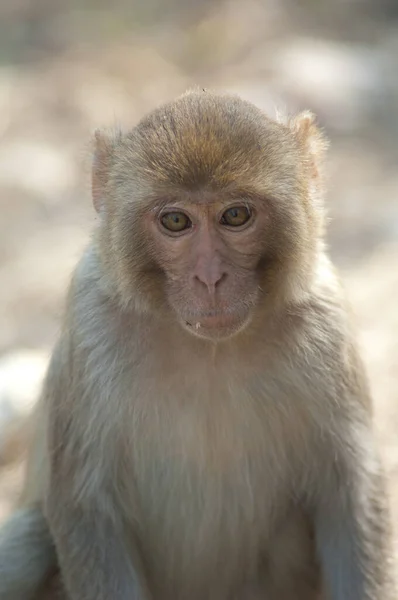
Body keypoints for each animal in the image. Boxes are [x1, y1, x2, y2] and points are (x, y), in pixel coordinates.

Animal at [0, 90, 394, 600]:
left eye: (235, 215)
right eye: (175, 221)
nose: (210, 279)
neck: (210, 350)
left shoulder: (326, 322)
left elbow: (350, 498)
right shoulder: (92, 324)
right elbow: (87, 509)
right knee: (29, 542)